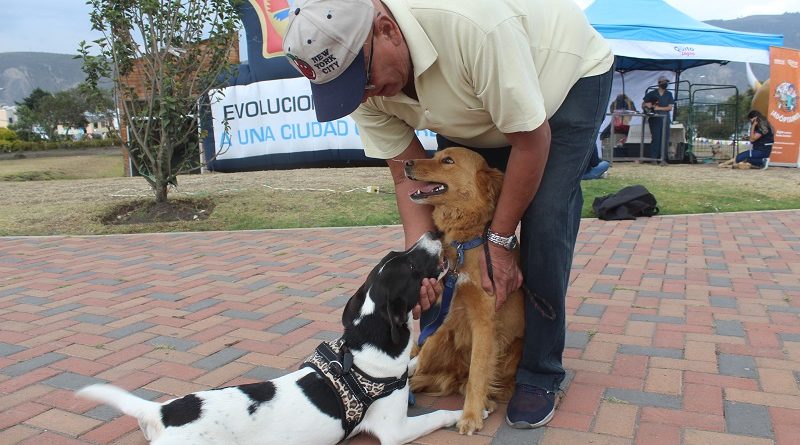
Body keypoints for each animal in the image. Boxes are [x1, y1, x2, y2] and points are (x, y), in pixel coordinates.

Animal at [78, 232, 466, 444]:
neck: (361, 349)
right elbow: (436, 415)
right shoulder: (394, 429)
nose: (433, 232)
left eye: (396, 254)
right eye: (411, 268)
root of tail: (161, 411)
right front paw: (462, 414)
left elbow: (415, 362)